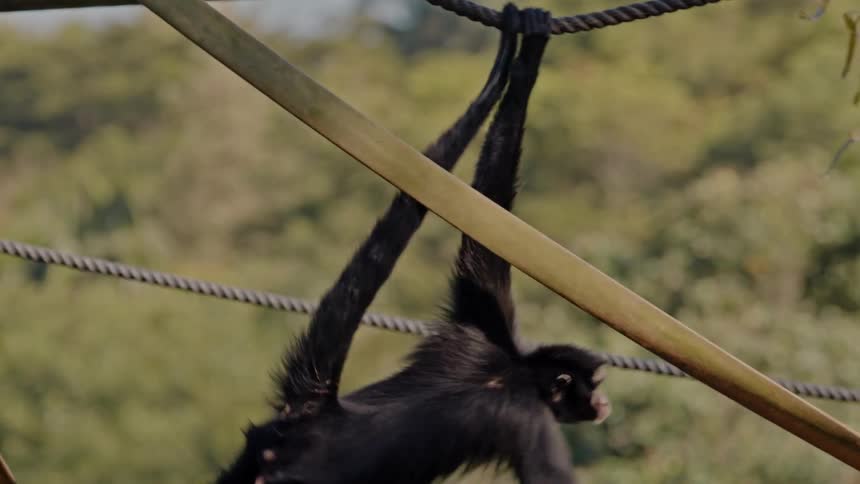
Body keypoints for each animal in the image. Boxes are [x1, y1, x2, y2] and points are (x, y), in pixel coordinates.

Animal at [217, 5, 610, 484]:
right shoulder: (525, 414)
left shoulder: (482, 330)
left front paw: (525, 58)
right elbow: (547, 474)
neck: (516, 371)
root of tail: (316, 414)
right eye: (593, 385)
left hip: (255, 454)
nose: (602, 402)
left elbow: (483, 239)